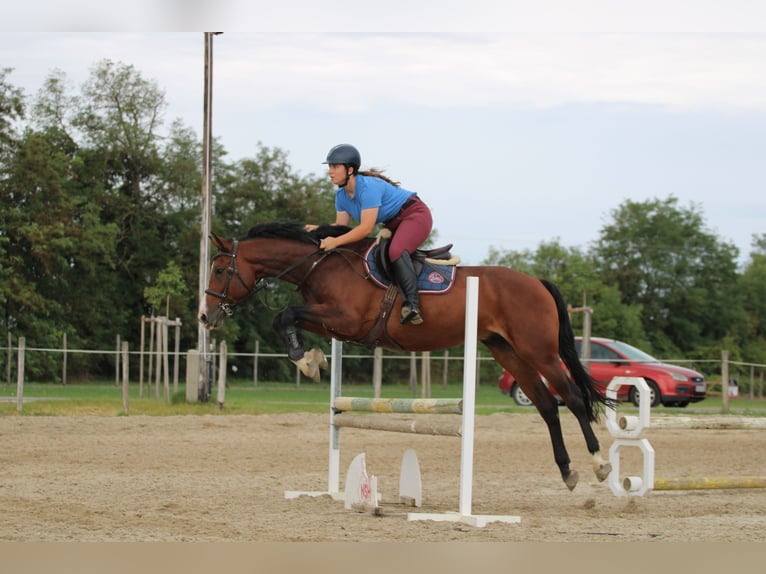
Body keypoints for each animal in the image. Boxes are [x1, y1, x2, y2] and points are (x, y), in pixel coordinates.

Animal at [201, 223, 616, 492]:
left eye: (220, 269)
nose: (206, 317)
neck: (322, 265)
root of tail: (537, 283)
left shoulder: (346, 320)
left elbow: (285, 314)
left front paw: (306, 361)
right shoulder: (333, 322)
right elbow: (285, 317)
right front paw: (312, 359)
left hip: (538, 351)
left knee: (572, 399)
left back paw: (600, 464)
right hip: (507, 350)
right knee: (546, 405)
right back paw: (567, 471)